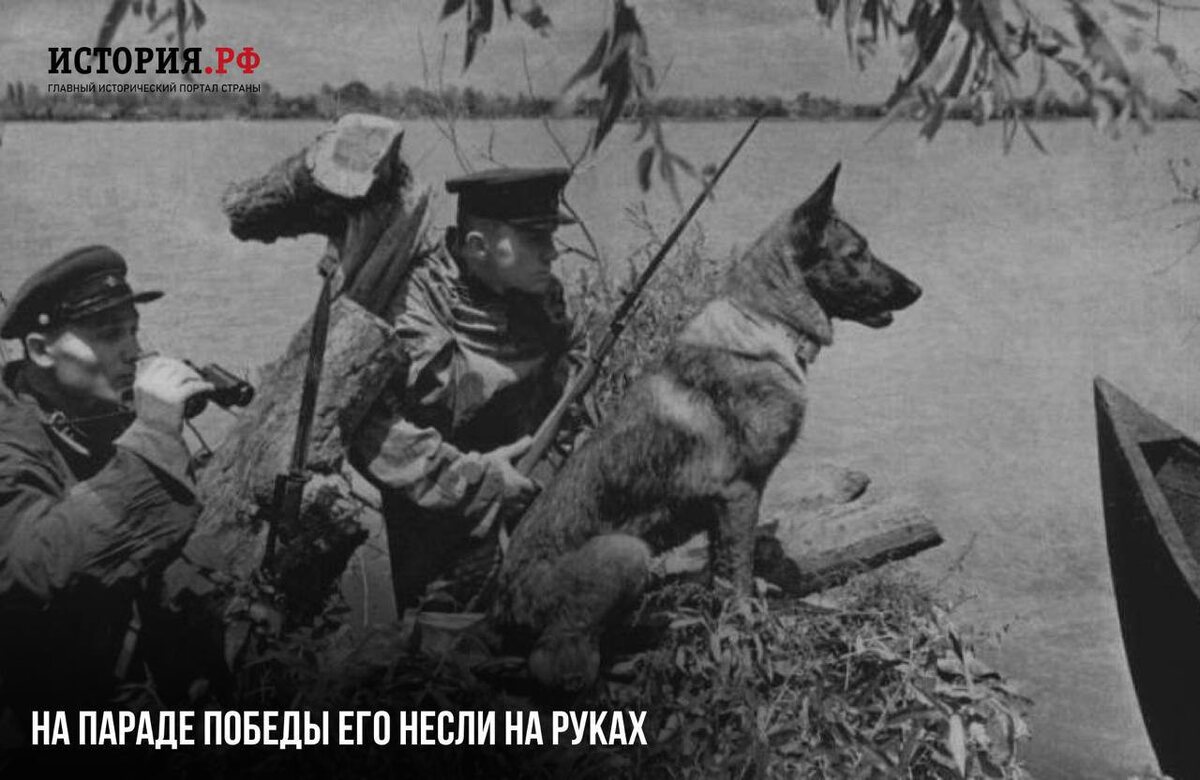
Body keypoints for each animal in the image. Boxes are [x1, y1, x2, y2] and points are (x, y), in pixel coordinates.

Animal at [492, 164, 922, 690]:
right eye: (856, 254)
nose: (917, 290)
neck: (767, 322)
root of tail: (503, 602)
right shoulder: (740, 493)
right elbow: (738, 579)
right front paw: (746, 633)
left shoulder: (724, 508)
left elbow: (721, 574)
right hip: (625, 552)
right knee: (555, 659)